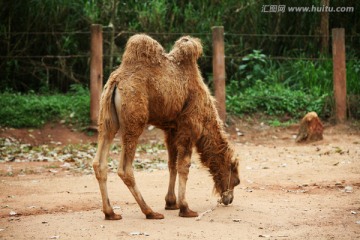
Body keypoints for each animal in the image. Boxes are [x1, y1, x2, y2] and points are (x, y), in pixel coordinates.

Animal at [91, 33, 240, 219]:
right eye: (236, 179)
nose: (228, 199)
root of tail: (116, 82)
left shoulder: (171, 129)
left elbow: (172, 164)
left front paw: (171, 203)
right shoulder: (189, 126)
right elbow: (184, 166)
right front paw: (185, 208)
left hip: (107, 119)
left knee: (99, 162)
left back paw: (110, 213)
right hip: (134, 119)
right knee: (125, 168)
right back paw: (149, 212)